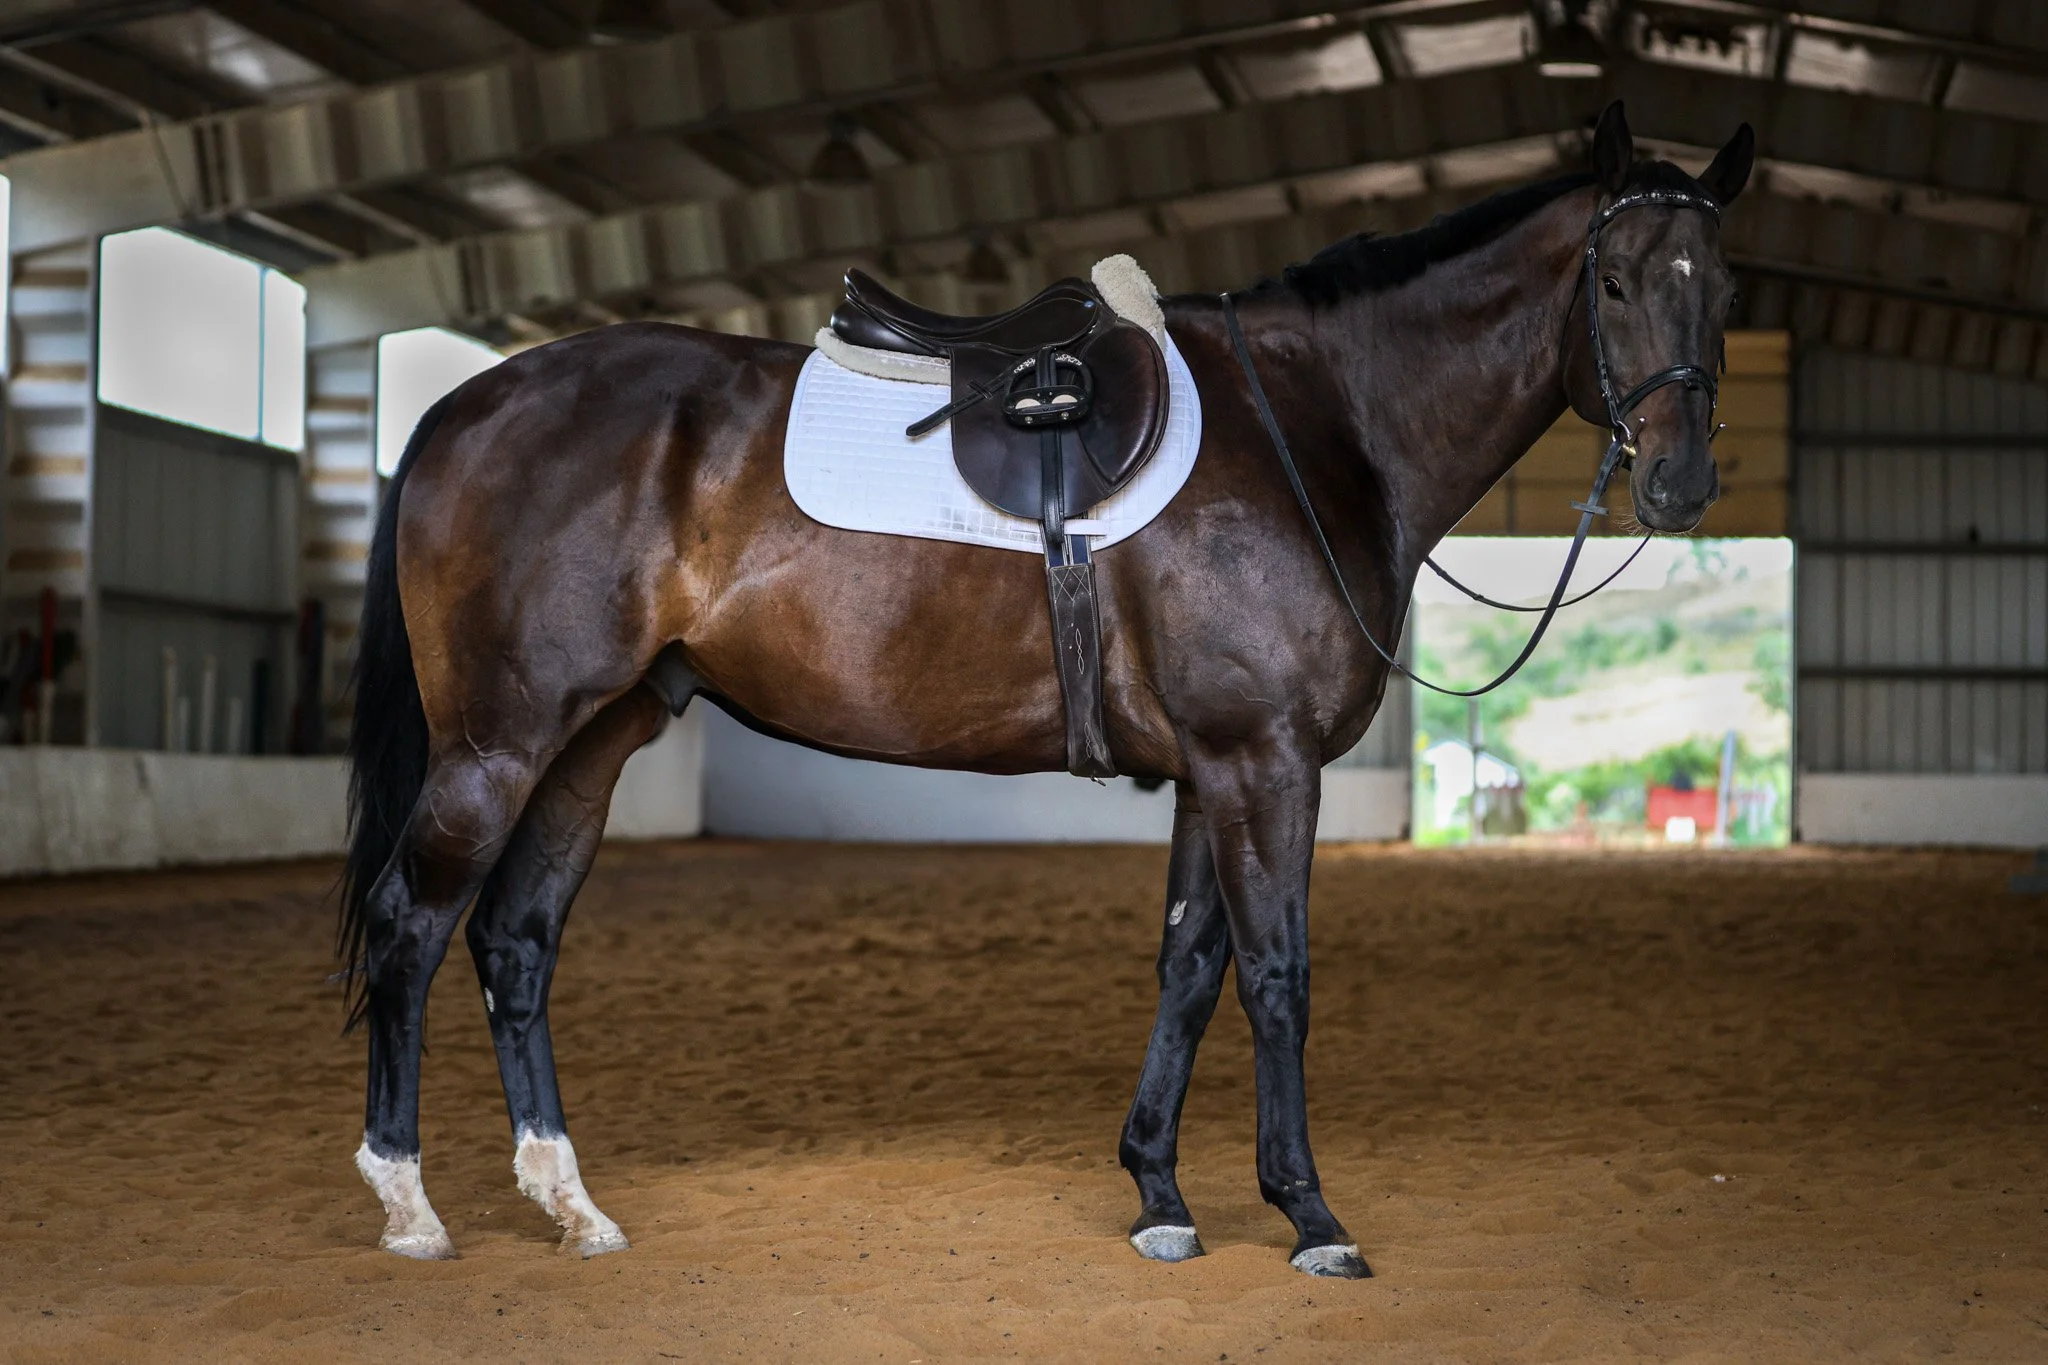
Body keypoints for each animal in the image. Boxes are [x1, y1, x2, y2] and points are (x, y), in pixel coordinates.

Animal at [337, 101, 1753, 1278]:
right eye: (1613, 279)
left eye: (1724, 288)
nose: (1679, 485)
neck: (1316, 430)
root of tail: (465, 404)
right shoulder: (1262, 762)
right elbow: (1276, 974)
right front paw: (1306, 1215)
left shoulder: (1211, 772)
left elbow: (1188, 967)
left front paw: (1158, 1196)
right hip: (498, 742)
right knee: (414, 924)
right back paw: (409, 1206)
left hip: (592, 742)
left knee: (516, 942)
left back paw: (570, 1204)